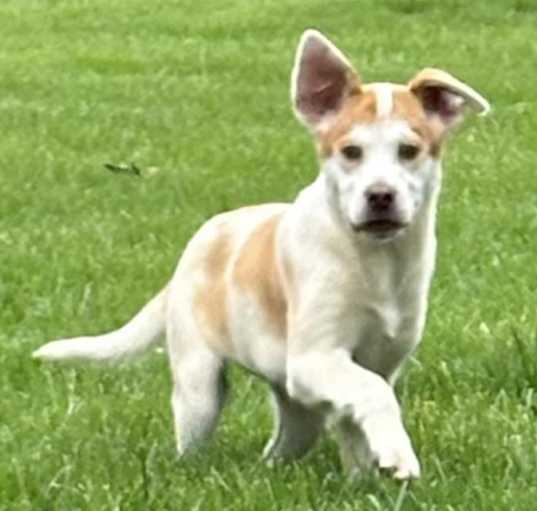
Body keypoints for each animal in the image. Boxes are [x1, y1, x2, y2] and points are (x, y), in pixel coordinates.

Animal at [32, 31, 490, 480]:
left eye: (409, 151)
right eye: (350, 152)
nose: (380, 196)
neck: (374, 260)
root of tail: (186, 262)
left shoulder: (377, 358)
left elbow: (357, 418)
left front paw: (368, 475)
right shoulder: (313, 358)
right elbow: (372, 393)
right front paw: (398, 456)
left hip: (296, 401)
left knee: (285, 442)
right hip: (200, 384)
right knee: (195, 432)